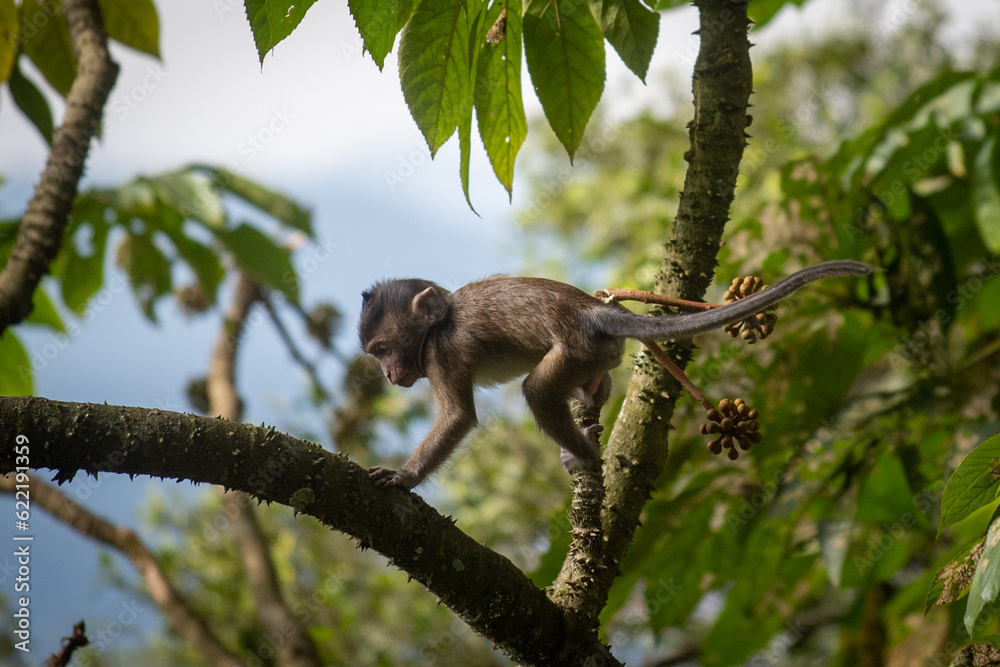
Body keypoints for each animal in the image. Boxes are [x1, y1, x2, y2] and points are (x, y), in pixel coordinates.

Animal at [359, 259, 874, 489]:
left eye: (382, 349)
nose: (388, 375)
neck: (439, 322)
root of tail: (594, 311)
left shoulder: (441, 354)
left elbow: (458, 418)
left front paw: (403, 478)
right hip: (597, 352)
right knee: (580, 383)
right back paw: (589, 407)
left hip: (576, 347)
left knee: (538, 389)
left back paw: (587, 459)